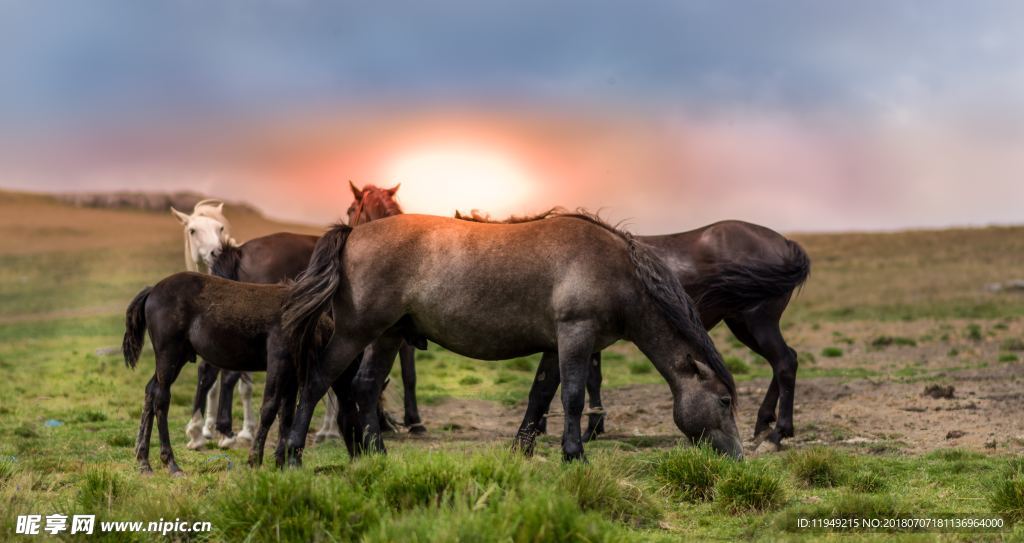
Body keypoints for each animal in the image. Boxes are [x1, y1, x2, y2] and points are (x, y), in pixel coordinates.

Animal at [121, 272, 331, 471]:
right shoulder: (278, 361)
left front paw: (281, 464)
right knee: (161, 398)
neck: (300, 314)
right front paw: (255, 460)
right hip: (169, 356)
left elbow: (286, 415)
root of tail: (153, 290)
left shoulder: (292, 372)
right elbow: (270, 408)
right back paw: (171, 463)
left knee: (150, 391)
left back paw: (143, 461)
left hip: (177, 359)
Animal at [280, 209, 745, 463]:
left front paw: (523, 451)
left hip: (388, 336)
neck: (615, 271)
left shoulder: (557, 346)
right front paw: (575, 456)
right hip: (357, 332)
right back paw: (291, 454)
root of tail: (353, 233)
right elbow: (572, 398)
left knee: (364, 385)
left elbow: (540, 396)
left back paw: (376, 454)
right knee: (318, 381)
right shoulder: (575, 336)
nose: (738, 458)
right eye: (724, 401)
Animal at [456, 213, 806, 446]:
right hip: (744, 325)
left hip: (755, 323)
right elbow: (589, 379)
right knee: (784, 361)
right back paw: (764, 424)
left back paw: (778, 432)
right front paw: (588, 426)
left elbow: (585, 381)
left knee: (784, 362)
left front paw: (589, 429)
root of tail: (785, 243)